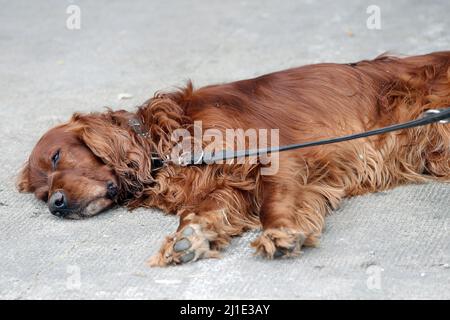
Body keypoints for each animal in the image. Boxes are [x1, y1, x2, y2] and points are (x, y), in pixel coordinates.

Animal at [15, 52, 448, 266]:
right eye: (41, 194)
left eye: (57, 156)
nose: (55, 205)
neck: (162, 143)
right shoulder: (228, 184)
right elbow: (206, 209)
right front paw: (191, 237)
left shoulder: (274, 155)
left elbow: (275, 200)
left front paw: (279, 232)